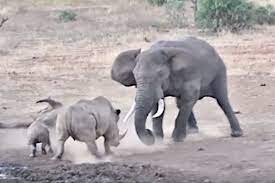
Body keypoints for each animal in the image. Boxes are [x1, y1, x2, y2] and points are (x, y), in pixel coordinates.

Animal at [111, 36, 245, 146]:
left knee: (222, 100)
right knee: (180, 103)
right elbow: (158, 106)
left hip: (219, 71)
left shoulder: (190, 73)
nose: (149, 133)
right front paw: (159, 140)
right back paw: (192, 131)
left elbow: (189, 97)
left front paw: (176, 139)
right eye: (135, 76)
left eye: (160, 74)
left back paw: (236, 134)